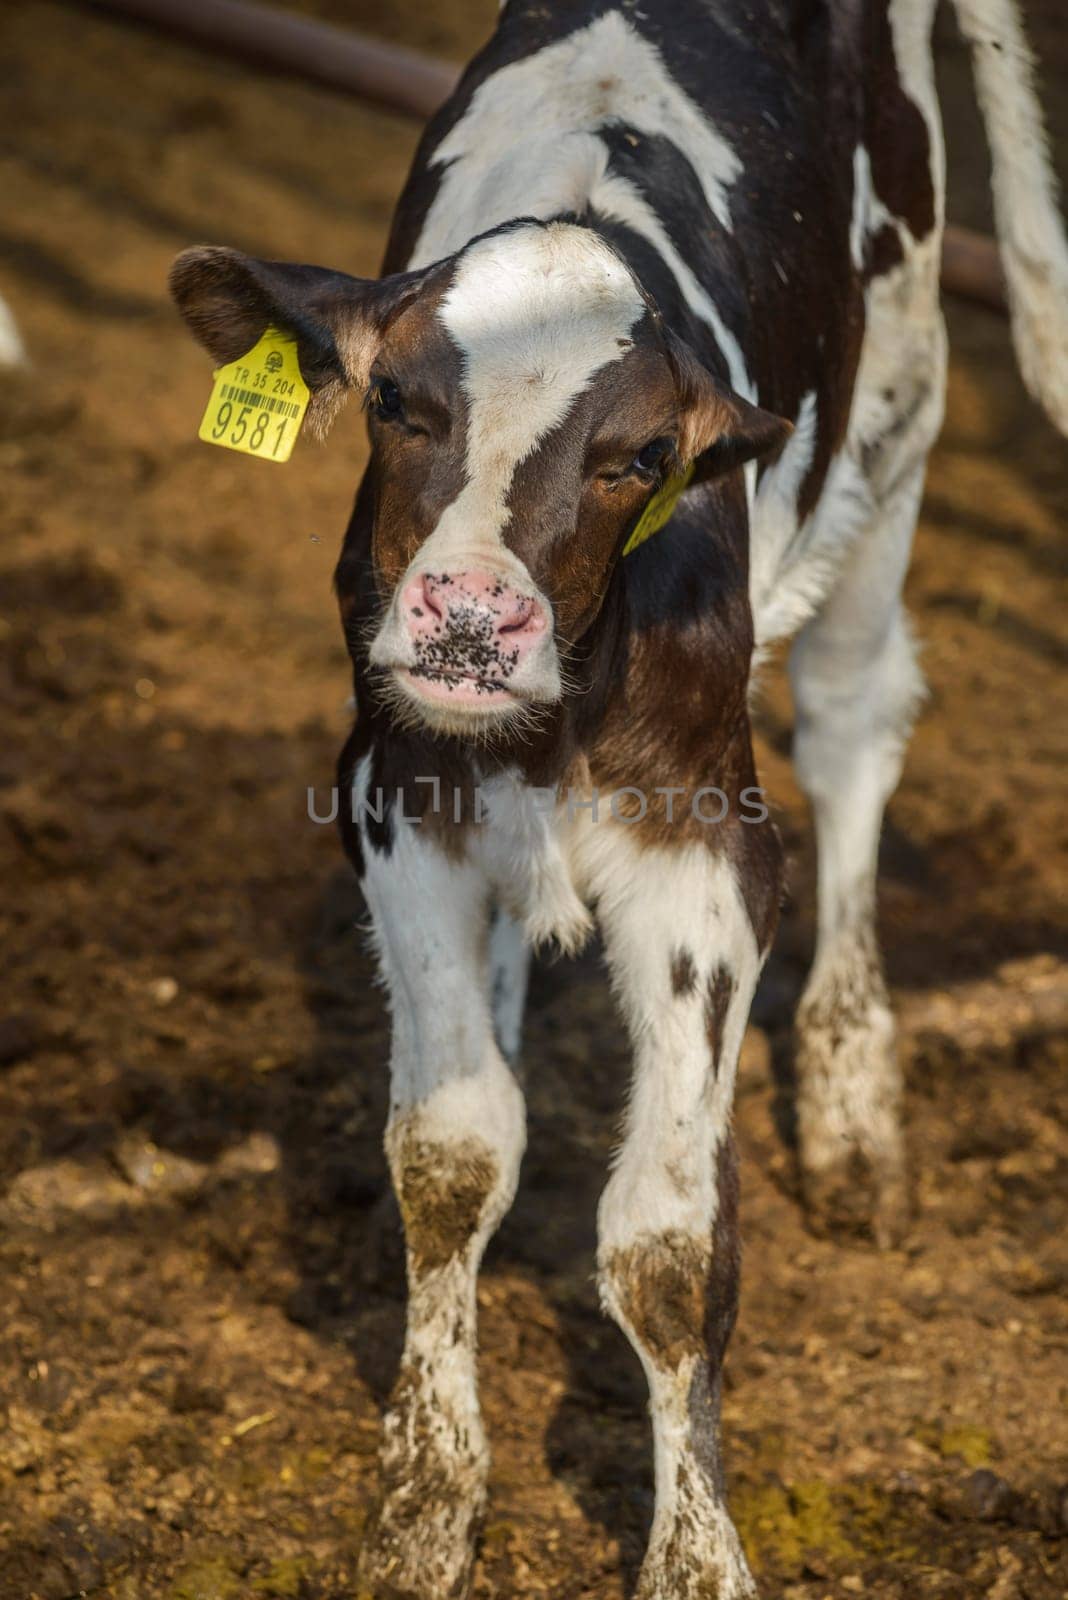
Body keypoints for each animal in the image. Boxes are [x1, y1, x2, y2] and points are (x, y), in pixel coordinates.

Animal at [171, 3, 1061, 1600]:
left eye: (637, 459)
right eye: (396, 403)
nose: (468, 623)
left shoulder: (705, 859)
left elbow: (670, 1239)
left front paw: (696, 1556)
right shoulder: (399, 799)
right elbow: (450, 1152)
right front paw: (423, 1504)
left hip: (901, 405)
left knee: (855, 712)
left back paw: (854, 1102)